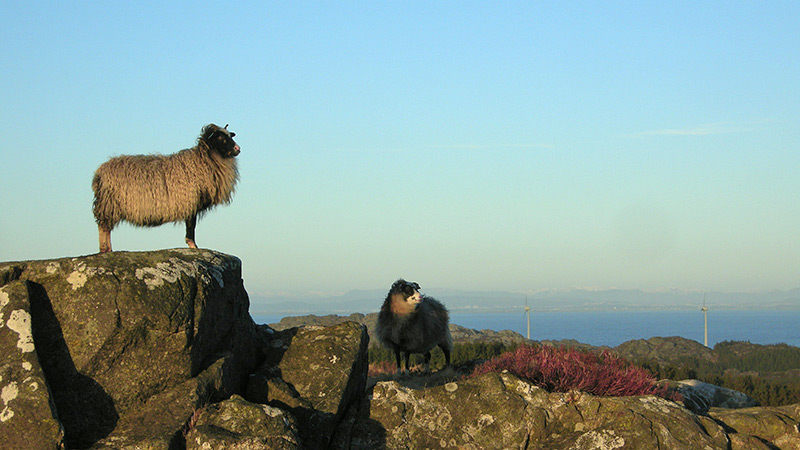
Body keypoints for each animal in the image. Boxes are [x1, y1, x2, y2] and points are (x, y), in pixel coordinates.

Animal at [92, 124, 239, 253]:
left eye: (229, 135)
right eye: (220, 138)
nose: (238, 149)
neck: (202, 161)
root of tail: (100, 172)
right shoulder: (190, 201)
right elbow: (191, 225)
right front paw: (193, 245)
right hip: (109, 203)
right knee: (103, 226)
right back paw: (105, 249)